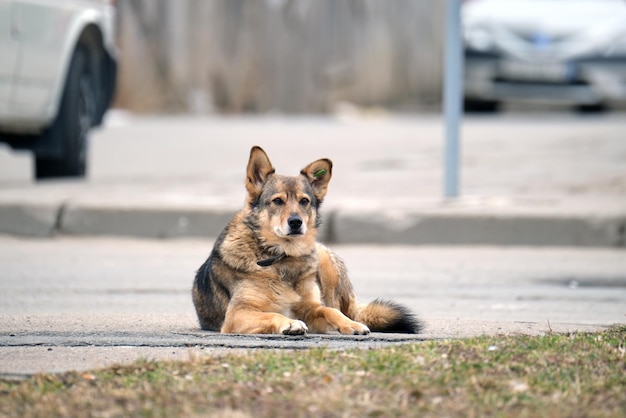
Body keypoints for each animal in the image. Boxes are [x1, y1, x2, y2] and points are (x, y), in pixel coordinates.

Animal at [190, 145, 420, 334]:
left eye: (304, 201)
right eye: (277, 201)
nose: (295, 222)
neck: (282, 258)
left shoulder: (311, 308)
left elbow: (330, 311)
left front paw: (350, 325)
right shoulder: (237, 314)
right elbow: (273, 314)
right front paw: (290, 323)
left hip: (324, 258)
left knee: (342, 308)